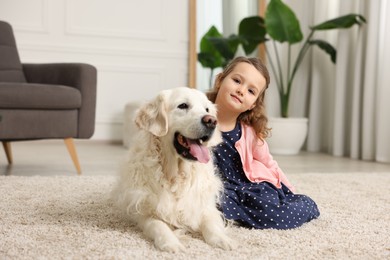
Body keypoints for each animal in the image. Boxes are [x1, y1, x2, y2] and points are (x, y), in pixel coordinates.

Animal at [111, 87, 236, 252]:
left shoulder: (205, 206)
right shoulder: (145, 212)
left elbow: (211, 224)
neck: (176, 175)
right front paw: (171, 243)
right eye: (183, 106)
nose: (211, 121)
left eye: (207, 109)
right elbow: (158, 225)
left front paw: (222, 239)